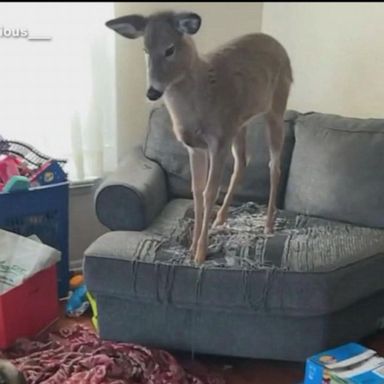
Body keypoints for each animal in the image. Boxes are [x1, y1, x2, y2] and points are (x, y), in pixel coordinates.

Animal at [106, 11, 292, 264]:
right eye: (145, 49)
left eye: (169, 49)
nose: (152, 92)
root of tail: (279, 45)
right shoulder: (195, 147)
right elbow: (196, 190)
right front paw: (193, 246)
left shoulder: (218, 141)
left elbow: (209, 192)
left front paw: (201, 253)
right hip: (239, 124)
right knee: (243, 162)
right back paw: (221, 218)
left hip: (276, 107)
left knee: (274, 165)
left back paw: (269, 224)